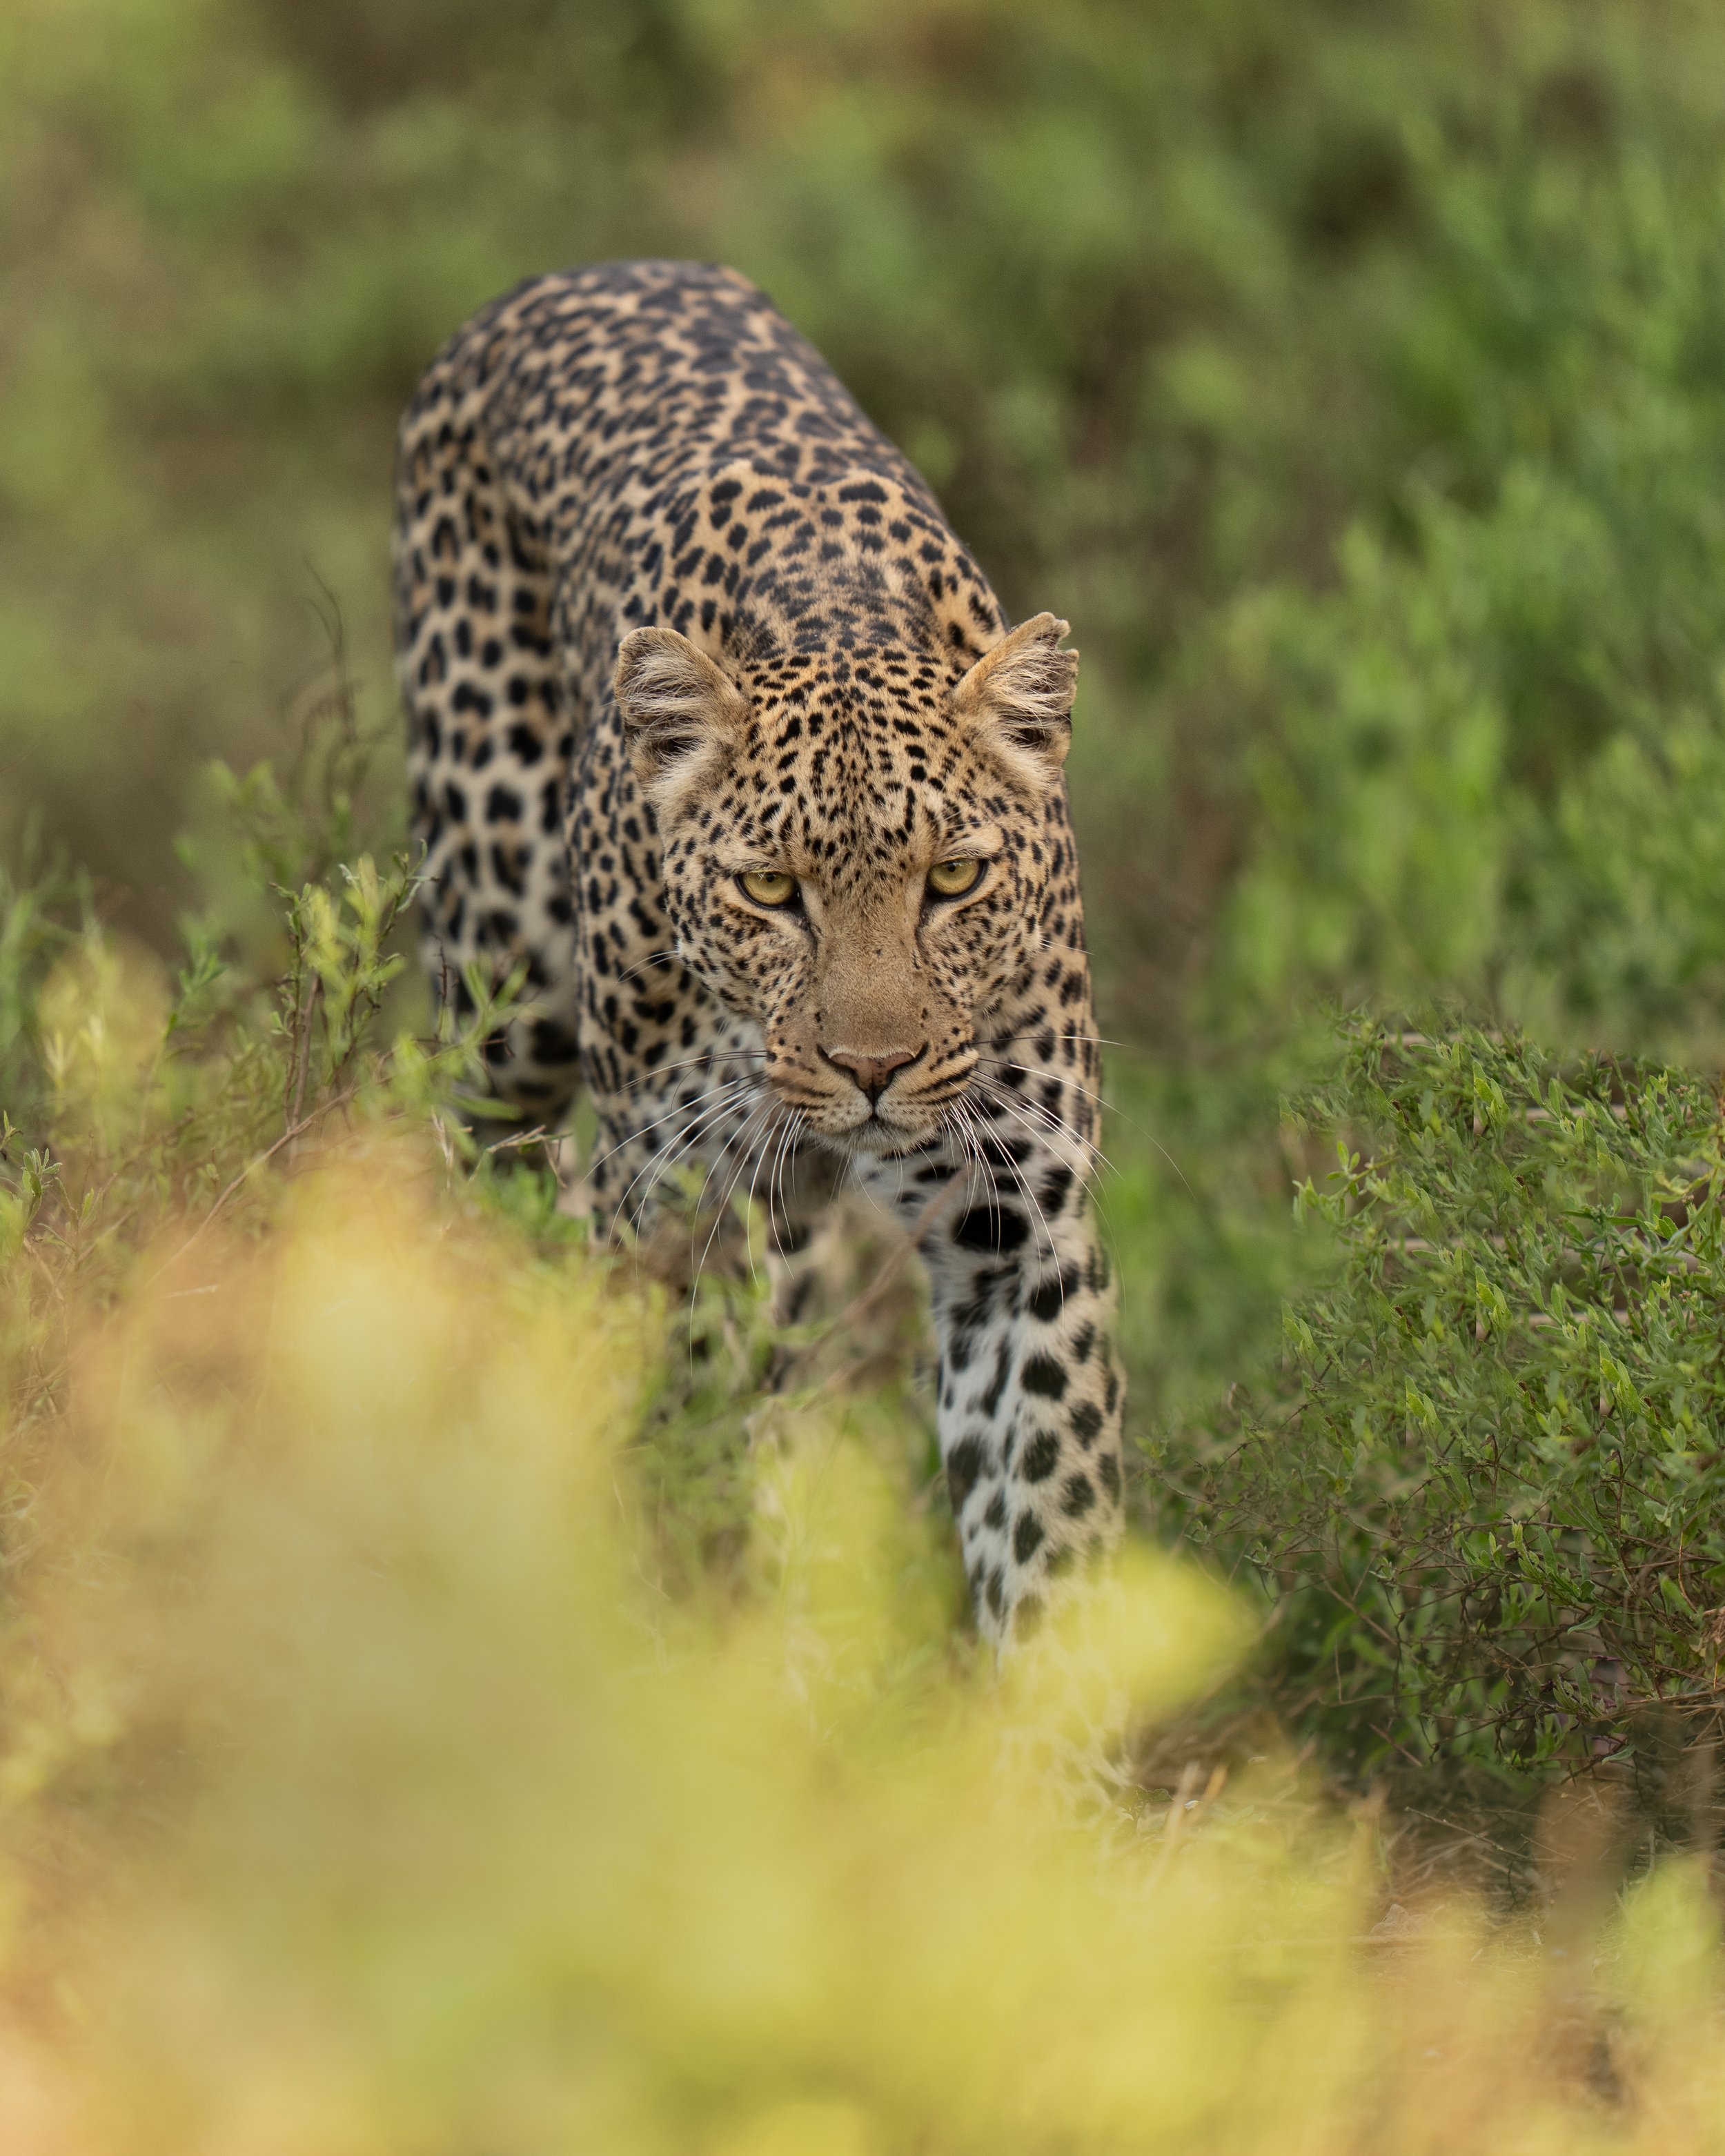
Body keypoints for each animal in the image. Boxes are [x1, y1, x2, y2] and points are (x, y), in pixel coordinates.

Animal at [394, 259, 1124, 1646]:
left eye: (954, 880)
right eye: (772, 892)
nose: (873, 1071)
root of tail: (584, 269)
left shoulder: (1020, 1227)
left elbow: (1051, 1532)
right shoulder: (691, 1207)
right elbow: (695, 1456)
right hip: (510, 1002)